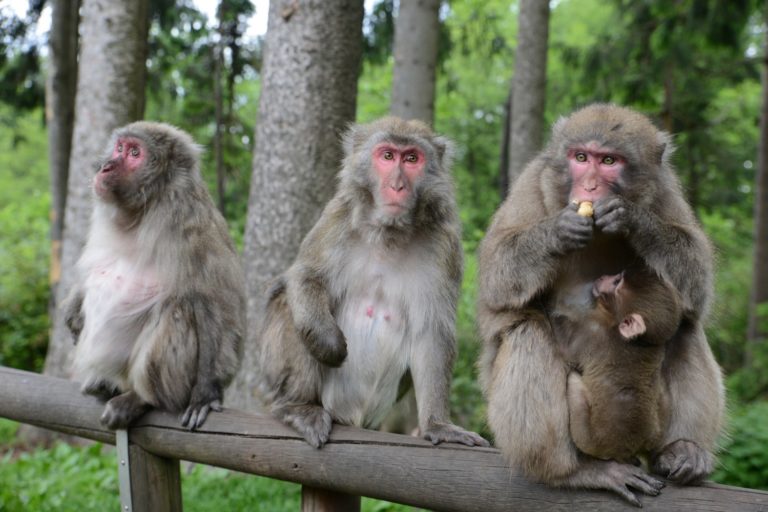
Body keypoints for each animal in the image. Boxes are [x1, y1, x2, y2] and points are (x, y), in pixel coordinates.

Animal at [64, 121, 244, 430]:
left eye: (135, 153)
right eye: (120, 147)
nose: (106, 166)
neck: (140, 212)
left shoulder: (189, 225)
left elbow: (217, 307)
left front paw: (207, 393)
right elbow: (91, 269)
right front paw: (74, 309)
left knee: (179, 308)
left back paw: (141, 398)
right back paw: (105, 385)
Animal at [253, 116, 489, 449]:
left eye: (412, 159)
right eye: (387, 156)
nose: (397, 185)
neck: (388, 232)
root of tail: (351, 417)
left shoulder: (445, 246)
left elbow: (432, 332)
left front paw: (439, 425)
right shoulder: (337, 216)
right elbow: (305, 276)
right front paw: (328, 341)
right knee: (287, 301)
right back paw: (298, 406)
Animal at [550, 268, 682, 463]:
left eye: (616, 282)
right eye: (618, 276)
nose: (604, 276)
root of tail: (624, 449)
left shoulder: (591, 333)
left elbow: (563, 342)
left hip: (588, 437)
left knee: (573, 381)